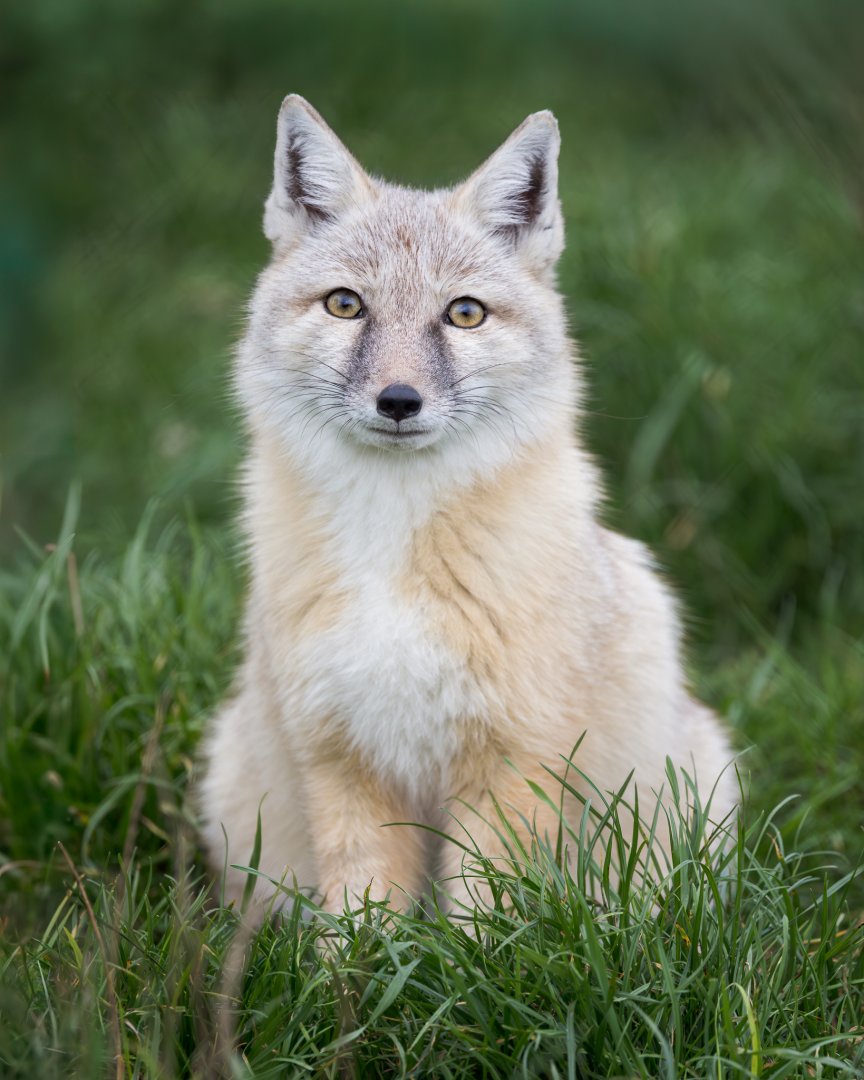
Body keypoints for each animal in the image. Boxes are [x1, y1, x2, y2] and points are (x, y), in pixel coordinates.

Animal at [199, 94, 736, 918]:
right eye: (346, 305)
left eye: (465, 315)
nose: (398, 400)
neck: (391, 550)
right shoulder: (340, 757)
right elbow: (360, 917)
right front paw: (354, 959)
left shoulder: (509, 759)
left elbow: (484, 919)